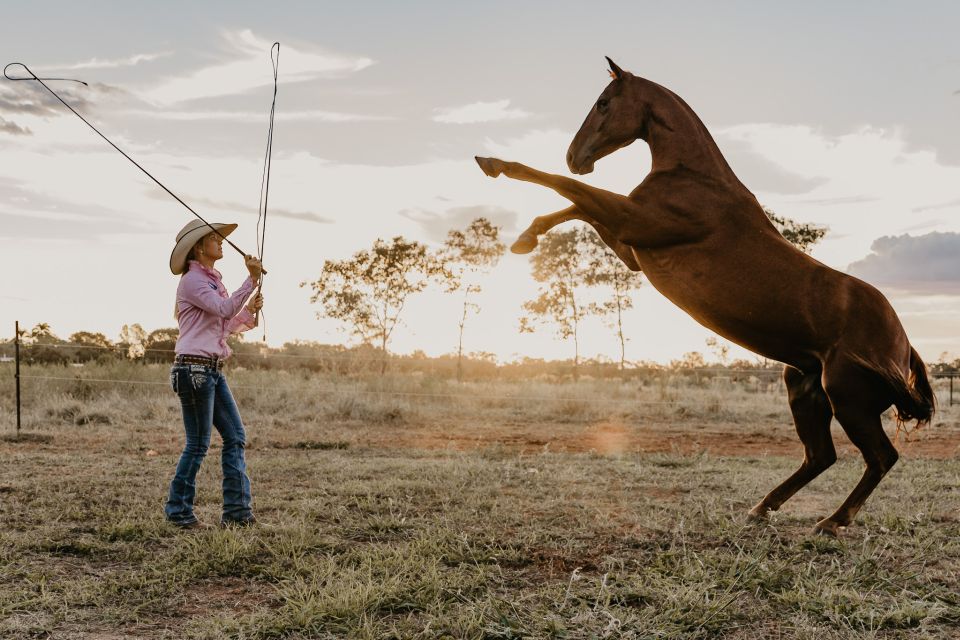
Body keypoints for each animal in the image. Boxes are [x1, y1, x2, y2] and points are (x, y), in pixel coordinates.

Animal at [476, 57, 932, 536]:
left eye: (603, 103)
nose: (574, 156)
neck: (695, 178)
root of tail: (903, 346)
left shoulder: (632, 223)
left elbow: (567, 189)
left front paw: (494, 164)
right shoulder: (630, 247)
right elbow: (576, 206)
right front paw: (526, 238)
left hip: (847, 396)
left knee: (880, 457)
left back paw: (831, 521)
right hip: (804, 386)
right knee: (820, 456)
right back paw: (761, 508)